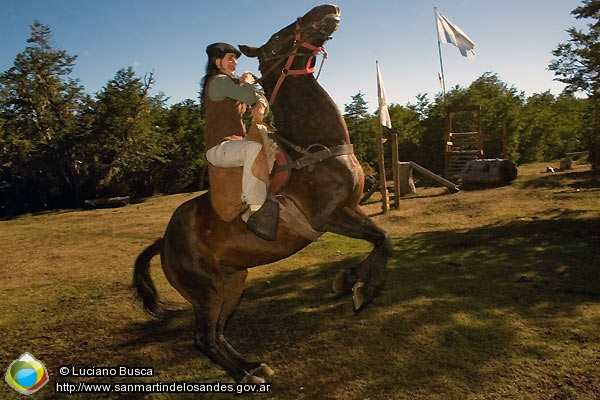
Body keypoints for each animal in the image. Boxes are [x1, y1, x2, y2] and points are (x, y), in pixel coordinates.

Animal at [134, 3, 392, 384]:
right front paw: (356, 286)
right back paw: (247, 375)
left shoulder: (351, 209)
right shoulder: (332, 216)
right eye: (275, 41)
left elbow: (382, 240)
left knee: (219, 333)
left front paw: (353, 282)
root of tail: (164, 242)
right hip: (206, 290)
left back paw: (252, 366)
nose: (326, 9)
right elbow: (383, 239)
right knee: (204, 338)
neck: (314, 146)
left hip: (232, 281)